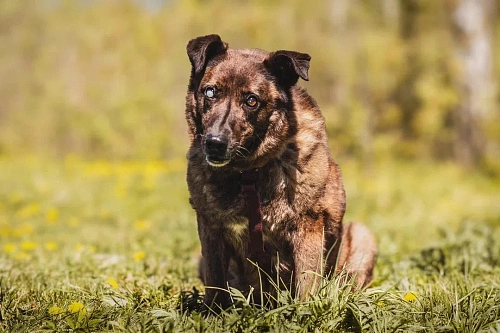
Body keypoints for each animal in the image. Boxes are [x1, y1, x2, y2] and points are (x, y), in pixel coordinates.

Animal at [185, 33, 376, 308]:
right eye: (210, 92)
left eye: (251, 100)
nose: (215, 143)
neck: (248, 174)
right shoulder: (210, 228)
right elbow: (215, 280)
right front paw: (213, 311)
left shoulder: (308, 228)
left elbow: (307, 282)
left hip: (362, 237)